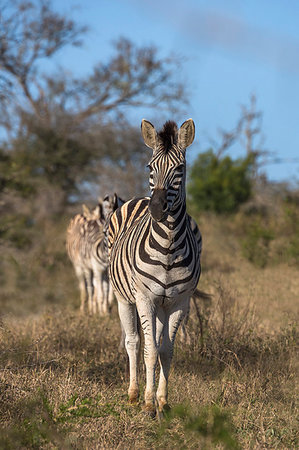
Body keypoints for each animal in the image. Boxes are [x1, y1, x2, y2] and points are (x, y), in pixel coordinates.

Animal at [106, 118, 203, 414]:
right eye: (150, 167)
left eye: (180, 169)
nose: (157, 209)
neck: (169, 246)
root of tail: (139, 198)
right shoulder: (145, 297)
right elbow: (149, 350)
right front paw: (149, 404)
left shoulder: (179, 302)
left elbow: (166, 351)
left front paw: (163, 401)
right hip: (125, 298)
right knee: (134, 342)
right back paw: (134, 394)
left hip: (161, 305)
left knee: (157, 342)